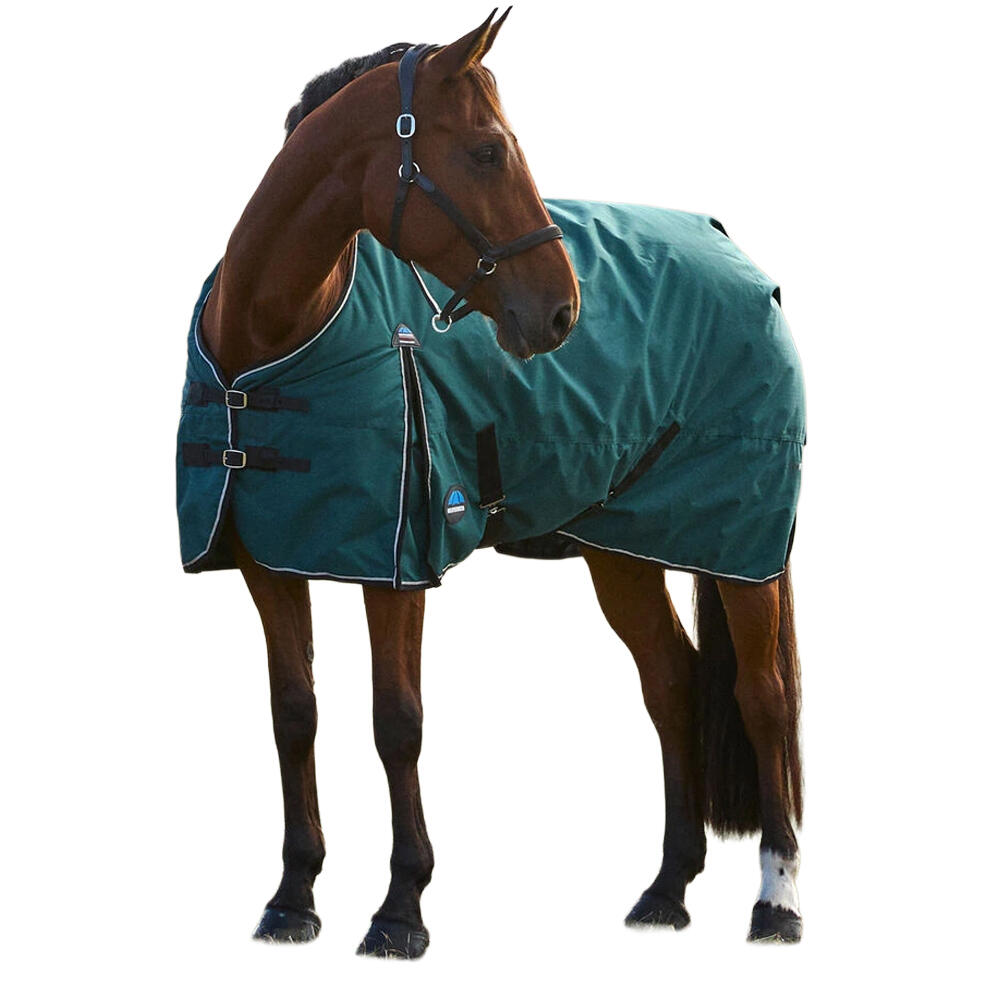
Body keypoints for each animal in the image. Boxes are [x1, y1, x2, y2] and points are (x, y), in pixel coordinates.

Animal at [180, 10, 805, 957]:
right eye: (484, 151)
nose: (561, 311)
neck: (276, 336)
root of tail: (735, 251)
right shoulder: (269, 562)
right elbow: (295, 715)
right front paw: (293, 898)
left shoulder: (397, 566)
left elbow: (396, 723)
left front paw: (400, 909)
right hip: (624, 549)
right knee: (672, 684)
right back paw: (666, 890)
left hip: (740, 547)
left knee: (761, 699)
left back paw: (777, 901)